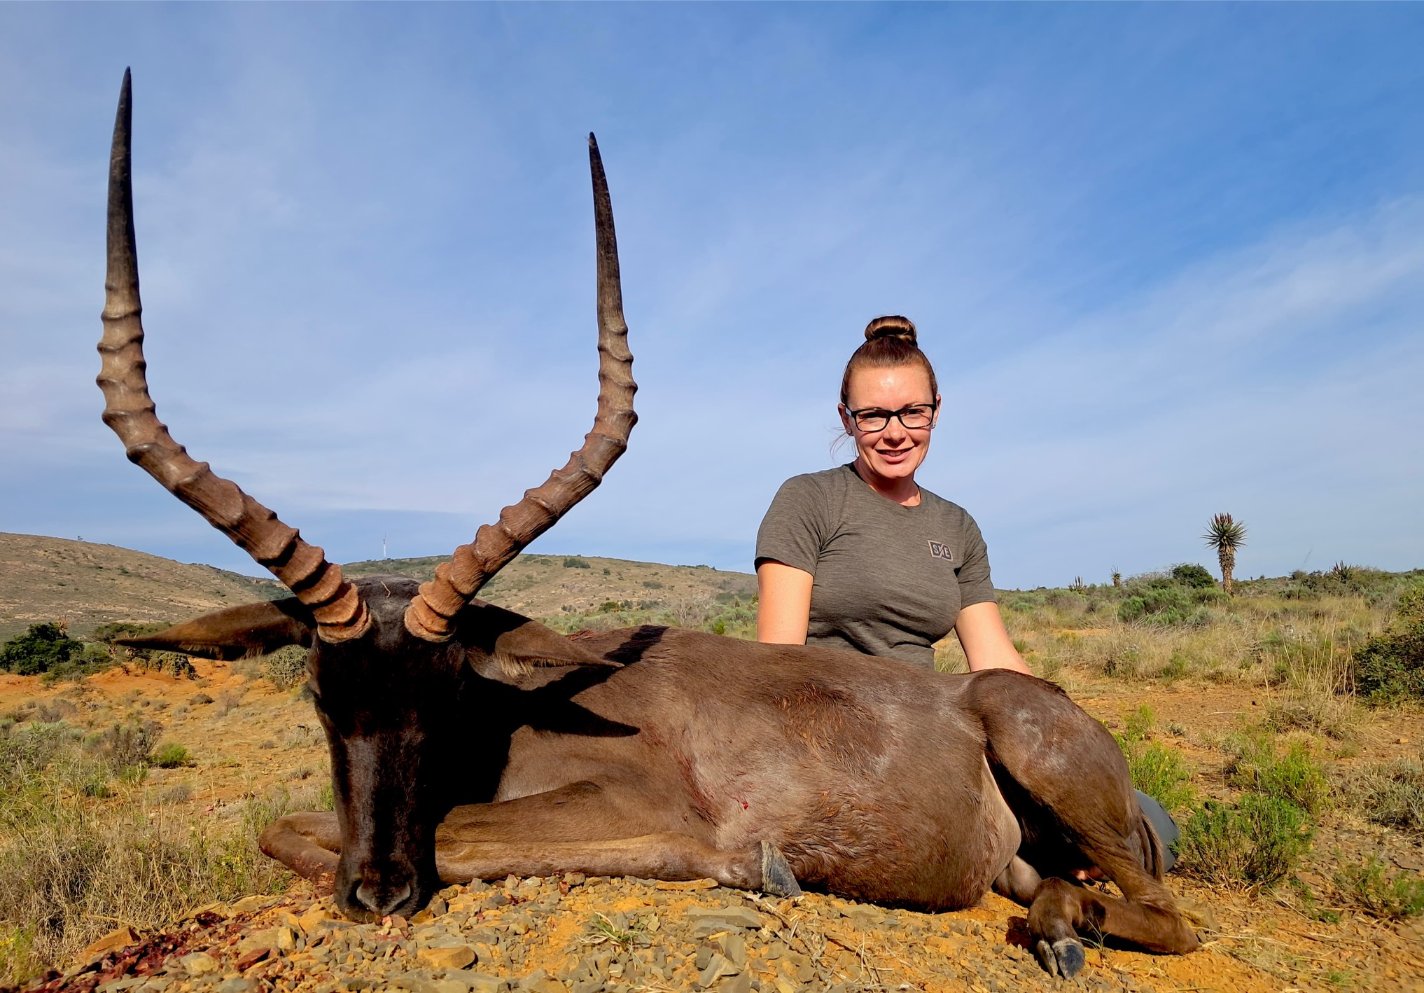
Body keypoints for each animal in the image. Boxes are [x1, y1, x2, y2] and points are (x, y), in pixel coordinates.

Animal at [99, 71, 1199, 979]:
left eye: (447, 692)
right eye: (324, 699)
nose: (380, 891)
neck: (521, 713)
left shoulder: (634, 808)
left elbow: (430, 832)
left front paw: (757, 868)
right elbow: (287, 827)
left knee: (1168, 918)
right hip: (1015, 861)